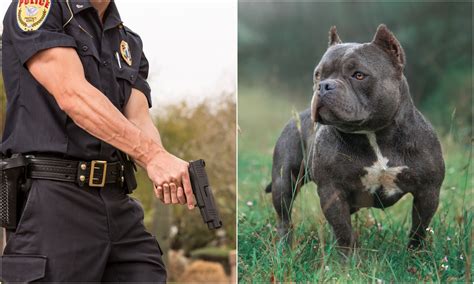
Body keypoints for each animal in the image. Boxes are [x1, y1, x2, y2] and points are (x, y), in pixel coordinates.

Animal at [268, 24, 446, 251]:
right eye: (318, 74)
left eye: (359, 75)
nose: (324, 85)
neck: (373, 134)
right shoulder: (332, 191)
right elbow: (343, 231)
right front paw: (347, 259)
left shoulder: (428, 191)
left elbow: (420, 229)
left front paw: (415, 253)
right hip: (284, 181)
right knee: (284, 216)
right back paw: (284, 247)